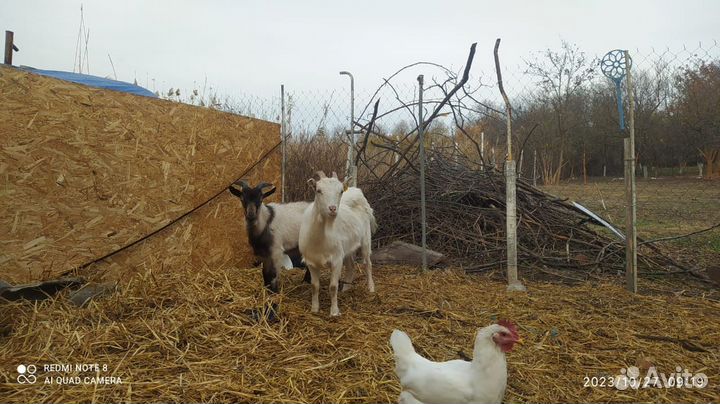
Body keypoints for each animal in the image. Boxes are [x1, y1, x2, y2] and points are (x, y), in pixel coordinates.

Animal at [228, 180, 310, 320]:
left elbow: (273, 276)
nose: (251, 215)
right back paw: (307, 282)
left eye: (261, 199)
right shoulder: (264, 255)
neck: (265, 223)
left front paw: (274, 296)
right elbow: (265, 275)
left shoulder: (276, 252)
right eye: (242, 198)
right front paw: (266, 292)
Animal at [298, 171, 377, 316]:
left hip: (366, 239)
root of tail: (356, 191)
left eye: (340, 191)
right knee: (351, 266)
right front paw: (314, 309)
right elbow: (314, 286)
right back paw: (346, 288)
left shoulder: (336, 259)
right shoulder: (311, 261)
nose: (332, 209)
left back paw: (371, 288)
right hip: (347, 248)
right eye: (318, 190)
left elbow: (333, 286)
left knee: (367, 263)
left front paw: (334, 311)